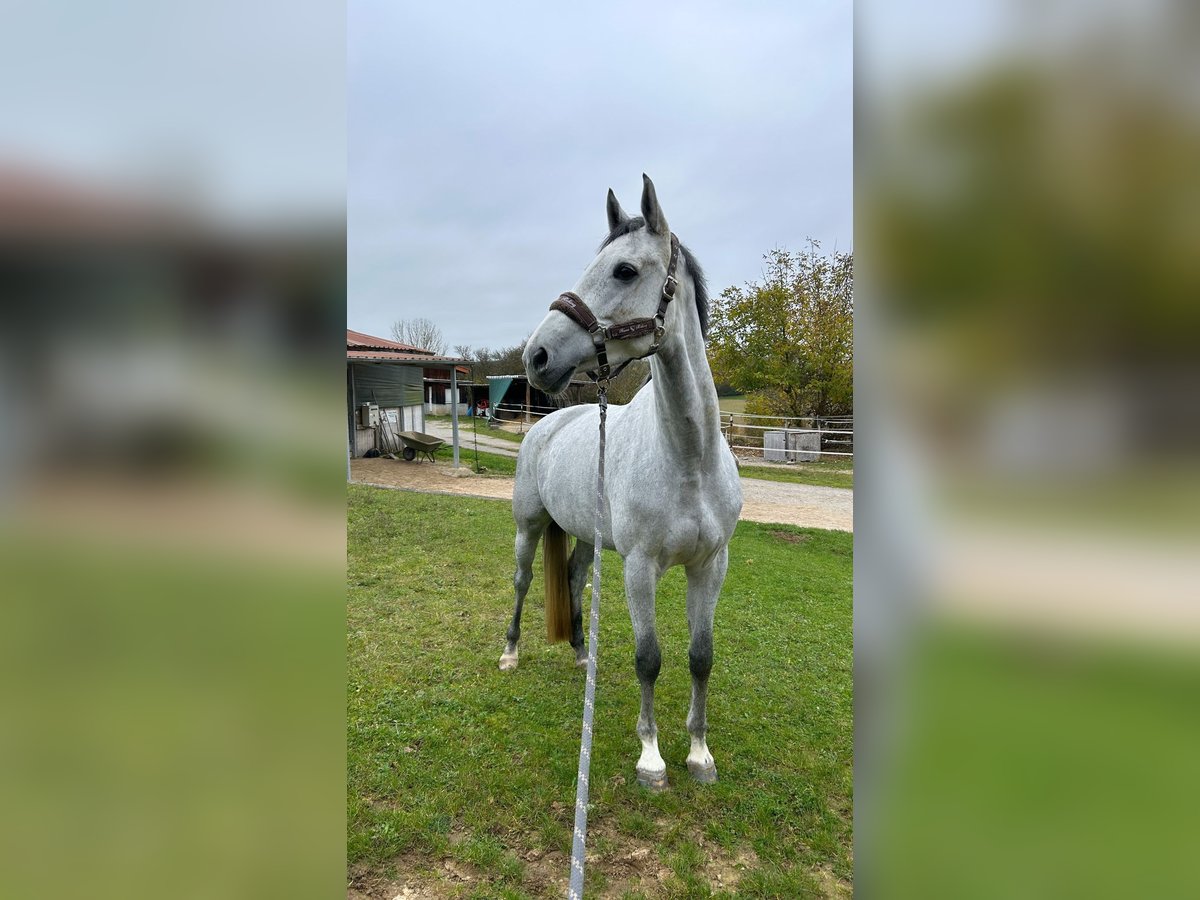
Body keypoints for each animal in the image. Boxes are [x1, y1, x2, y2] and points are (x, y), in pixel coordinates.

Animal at [496, 174, 739, 787]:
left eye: (624, 270)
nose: (537, 356)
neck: (688, 459)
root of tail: (547, 424)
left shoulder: (711, 564)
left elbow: (701, 656)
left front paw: (699, 753)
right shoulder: (639, 566)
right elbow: (648, 658)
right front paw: (651, 758)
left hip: (587, 535)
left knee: (574, 575)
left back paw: (583, 653)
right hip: (528, 528)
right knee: (523, 581)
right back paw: (509, 652)